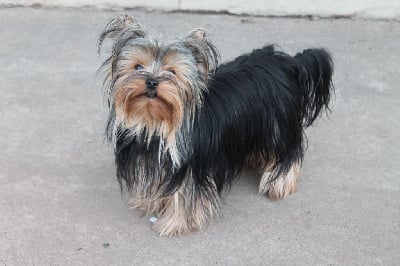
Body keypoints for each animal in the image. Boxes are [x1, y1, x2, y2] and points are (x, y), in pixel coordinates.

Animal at [97, 15, 334, 237]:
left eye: (172, 72)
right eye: (138, 66)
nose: (152, 82)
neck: (154, 122)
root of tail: (287, 62)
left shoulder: (191, 167)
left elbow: (185, 196)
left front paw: (174, 223)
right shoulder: (147, 158)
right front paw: (150, 202)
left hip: (279, 124)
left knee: (288, 152)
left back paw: (280, 184)